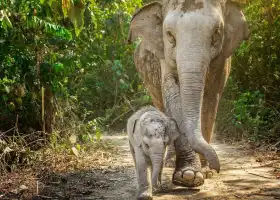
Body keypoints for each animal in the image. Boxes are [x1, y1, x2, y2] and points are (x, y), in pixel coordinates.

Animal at [128, 0, 248, 188]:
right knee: (162, 105)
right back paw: (170, 161)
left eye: (216, 33)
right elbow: (173, 96)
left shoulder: (222, 60)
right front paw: (188, 176)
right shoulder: (163, 57)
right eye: (169, 35)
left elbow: (210, 99)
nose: (217, 167)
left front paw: (205, 172)